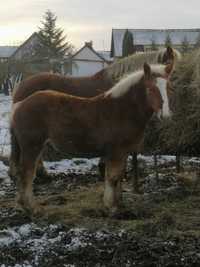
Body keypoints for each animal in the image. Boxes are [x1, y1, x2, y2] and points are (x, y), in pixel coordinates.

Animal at [10, 62, 173, 216]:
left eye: (168, 87)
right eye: (150, 89)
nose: (165, 116)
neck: (121, 110)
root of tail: (20, 104)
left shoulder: (123, 152)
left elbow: (119, 176)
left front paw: (119, 204)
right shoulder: (116, 151)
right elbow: (112, 177)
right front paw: (111, 207)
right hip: (32, 146)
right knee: (27, 174)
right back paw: (32, 207)